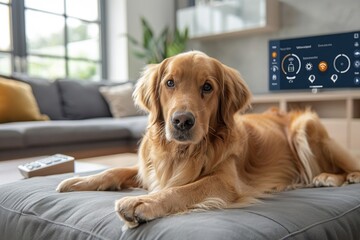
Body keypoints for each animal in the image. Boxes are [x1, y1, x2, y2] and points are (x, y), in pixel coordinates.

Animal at [56, 50, 360, 229]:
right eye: (169, 83)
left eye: (207, 87)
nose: (181, 121)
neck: (182, 151)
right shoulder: (149, 168)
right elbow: (115, 169)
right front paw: (79, 181)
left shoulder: (225, 180)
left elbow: (183, 189)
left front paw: (143, 202)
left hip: (305, 127)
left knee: (348, 166)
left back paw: (329, 177)